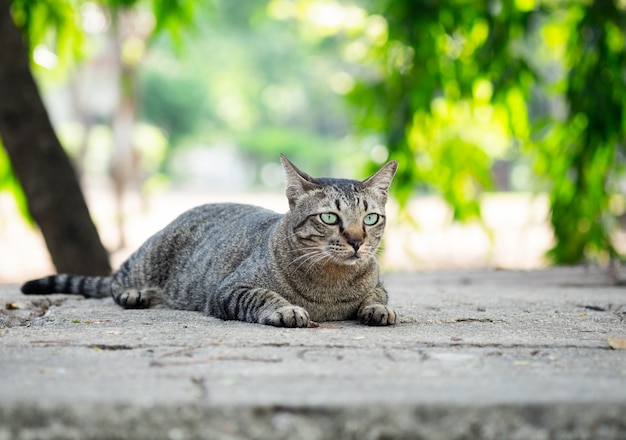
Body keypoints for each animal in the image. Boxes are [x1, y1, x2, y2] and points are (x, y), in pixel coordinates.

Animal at [23, 155, 400, 326]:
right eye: (329, 218)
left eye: (370, 218)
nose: (357, 241)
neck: (330, 286)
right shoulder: (230, 289)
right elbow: (264, 295)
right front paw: (286, 308)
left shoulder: (377, 284)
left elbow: (378, 295)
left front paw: (379, 308)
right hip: (146, 259)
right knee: (115, 280)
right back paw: (136, 294)